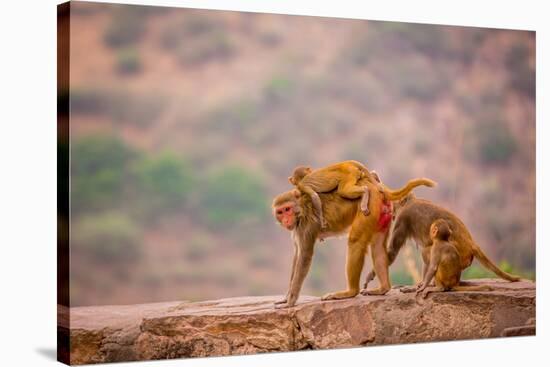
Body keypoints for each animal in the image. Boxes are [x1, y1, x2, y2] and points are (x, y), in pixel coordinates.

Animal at [274, 177, 438, 310]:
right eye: (280, 212)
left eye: (287, 209)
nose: (286, 220)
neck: (301, 208)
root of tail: (377, 188)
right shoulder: (297, 229)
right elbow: (297, 255)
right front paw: (286, 298)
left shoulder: (306, 226)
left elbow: (304, 257)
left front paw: (290, 301)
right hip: (381, 213)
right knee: (378, 246)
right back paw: (383, 288)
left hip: (369, 208)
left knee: (355, 241)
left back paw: (350, 292)